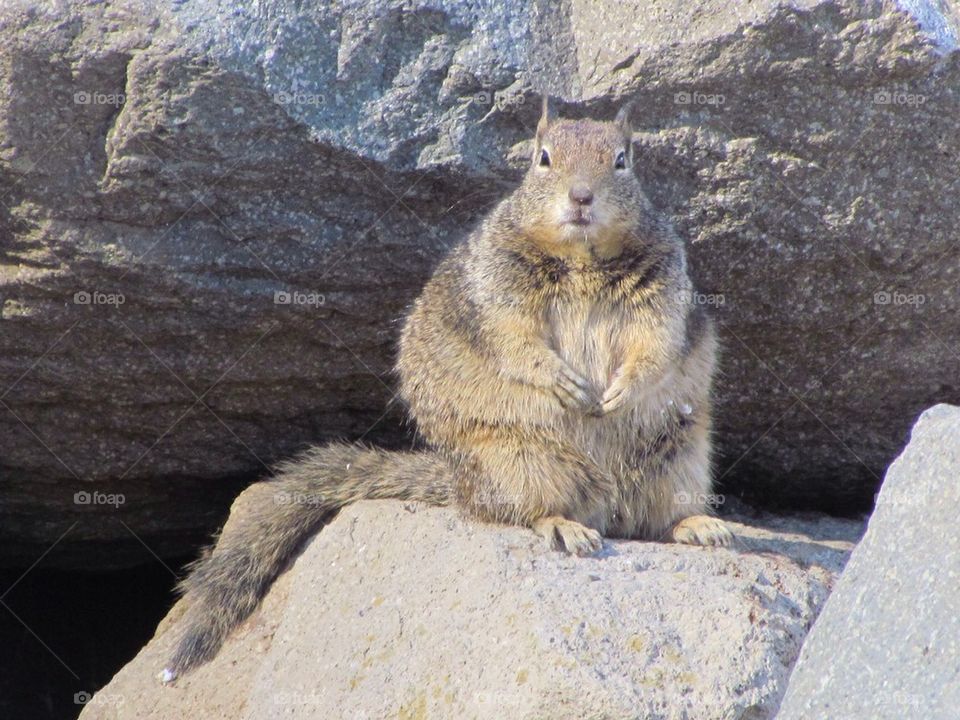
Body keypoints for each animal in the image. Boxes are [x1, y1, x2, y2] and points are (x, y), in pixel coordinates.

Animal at [161, 99, 731, 683]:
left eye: (622, 160)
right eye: (542, 158)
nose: (581, 197)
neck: (582, 257)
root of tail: (459, 484)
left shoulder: (665, 286)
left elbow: (656, 342)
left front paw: (620, 391)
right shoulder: (498, 289)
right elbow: (514, 339)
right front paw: (563, 382)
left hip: (681, 460)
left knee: (656, 520)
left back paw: (700, 525)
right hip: (520, 461)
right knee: (524, 512)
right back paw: (564, 526)